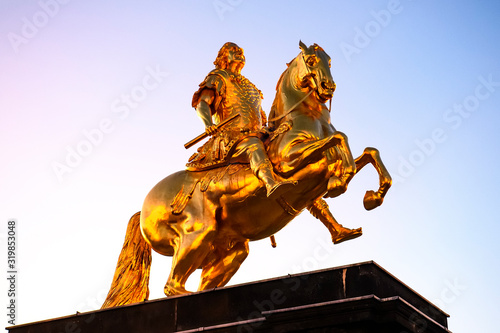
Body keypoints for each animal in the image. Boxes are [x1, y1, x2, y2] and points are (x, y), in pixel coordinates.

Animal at [100, 42, 390, 308]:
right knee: (172, 286)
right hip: (196, 234)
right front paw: (340, 182)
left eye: (329, 61)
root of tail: (144, 209)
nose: (328, 87)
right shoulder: (289, 161)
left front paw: (371, 197)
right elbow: (340, 139)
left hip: (229, 250)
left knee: (204, 282)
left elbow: (368, 152)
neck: (304, 121)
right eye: (310, 60)